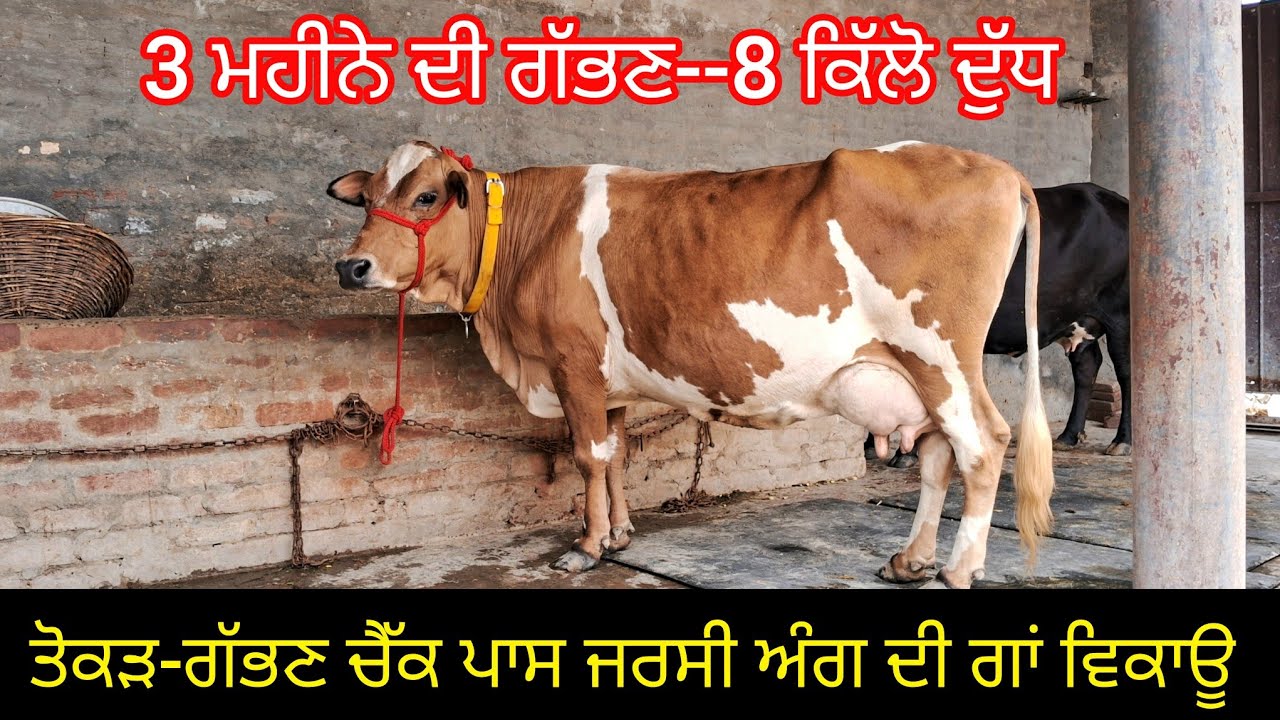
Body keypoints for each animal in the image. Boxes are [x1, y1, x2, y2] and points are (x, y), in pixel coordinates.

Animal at [326, 139, 1055, 589]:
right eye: (366, 199)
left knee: (983, 446)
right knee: (936, 456)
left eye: (426, 197)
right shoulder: (610, 381)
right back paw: (910, 560)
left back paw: (958, 569)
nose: (349, 266)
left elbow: (587, 455)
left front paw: (586, 548)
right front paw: (620, 533)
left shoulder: (572, 362)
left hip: (940, 356)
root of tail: (995, 167)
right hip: (918, 374)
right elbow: (616, 453)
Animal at [864, 183, 1131, 469]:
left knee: (1126, 372)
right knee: (1086, 365)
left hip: (1120, 316)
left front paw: (905, 453)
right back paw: (1068, 436)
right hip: (1079, 320)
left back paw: (1122, 440)